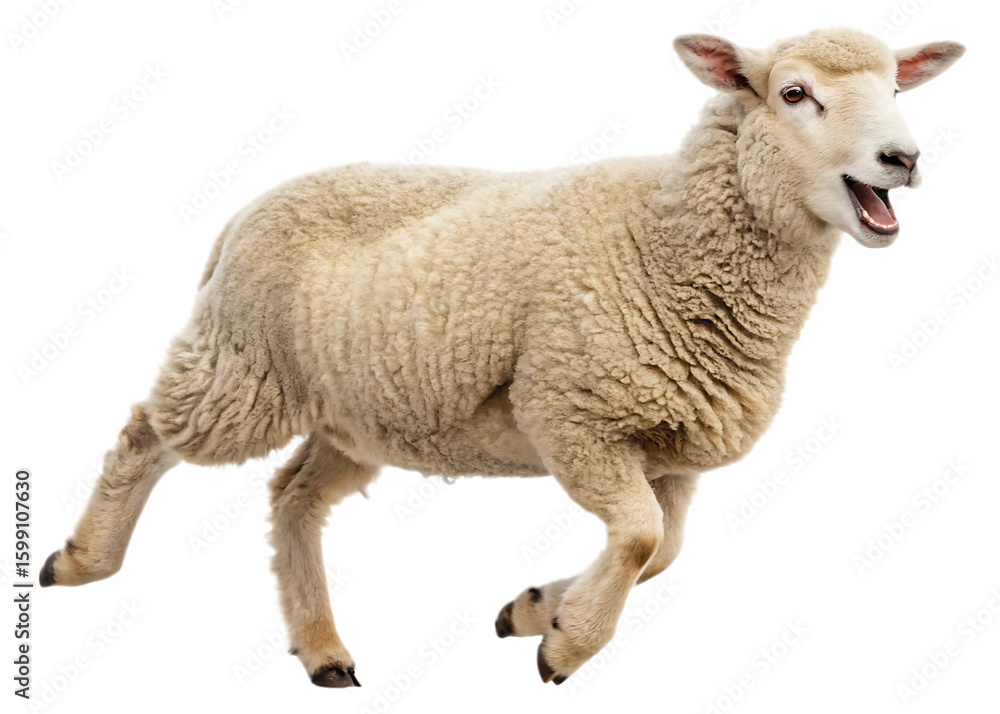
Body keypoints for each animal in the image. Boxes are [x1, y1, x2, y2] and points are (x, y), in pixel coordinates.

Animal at [40, 27, 964, 687]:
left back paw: (323, 648)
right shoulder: (571, 414)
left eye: (894, 88)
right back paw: (80, 560)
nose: (902, 158)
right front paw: (564, 648)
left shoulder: (669, 447)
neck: (666, 242)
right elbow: (639, 538)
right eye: (794, 93)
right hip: (243, 367)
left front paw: (535, 613)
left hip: (355, 413)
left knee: (292, 497)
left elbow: (662, 549)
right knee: (144, 434)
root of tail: (241, 214)